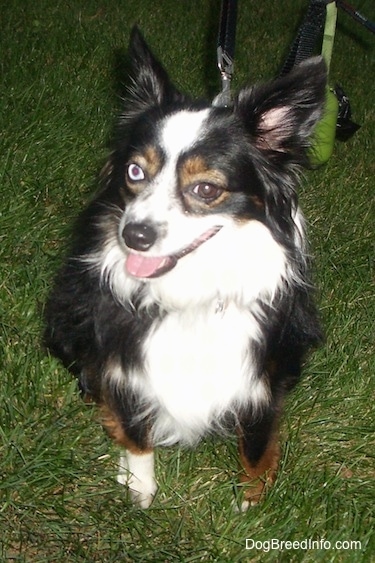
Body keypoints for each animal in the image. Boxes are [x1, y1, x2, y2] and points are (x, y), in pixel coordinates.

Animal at [43, 27, 326, 512]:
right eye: (135, 172)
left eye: (206, 189)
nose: (134, 235)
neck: (192, 292)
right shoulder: (123, 365)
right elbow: (135, 430)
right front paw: (138, 487)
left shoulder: (262, 376)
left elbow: (257, 443)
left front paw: (251, 504)